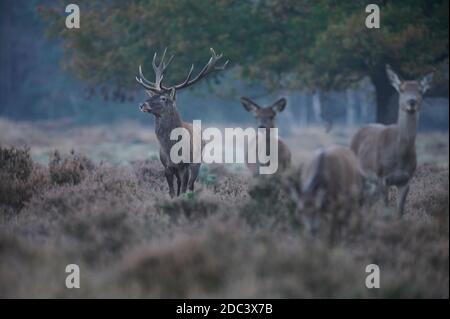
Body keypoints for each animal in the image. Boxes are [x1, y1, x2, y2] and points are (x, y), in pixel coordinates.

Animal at [136, 48, 229, 198]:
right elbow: (172, 192)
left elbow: (184, 190)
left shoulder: (185, 166)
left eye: (163, 98)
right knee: (180, 185)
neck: (171, 148)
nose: (142, 105)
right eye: (152, 95)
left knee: (191, 186)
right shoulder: (167, 167)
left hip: (197, 163)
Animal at [350, 64, 434, 215]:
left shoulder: (406, 179)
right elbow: (385, 208)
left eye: (420, 90)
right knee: (358, 199)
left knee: (367, 201)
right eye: (402, 89)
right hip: (359, 172)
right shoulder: (382, 176)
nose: (412, 101)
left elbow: (400, 211)